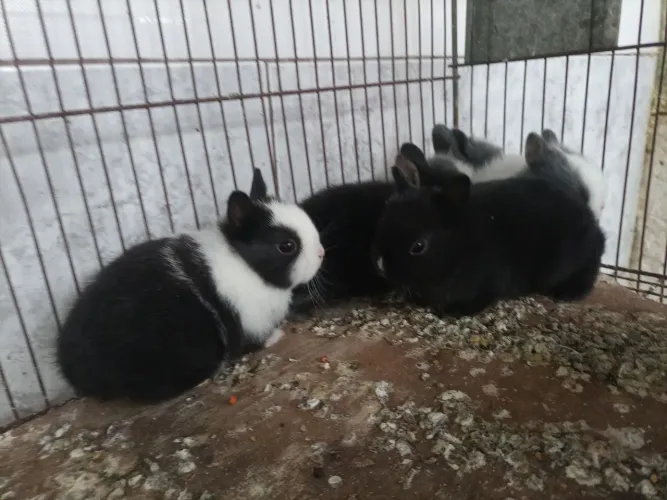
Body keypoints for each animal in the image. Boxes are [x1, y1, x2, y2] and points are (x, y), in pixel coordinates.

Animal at [372, 132, 606, 318]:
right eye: (382, 224)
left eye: (418, 247)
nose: (383, 269)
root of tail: (588, 216)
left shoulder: (490, 281)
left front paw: (453, 311)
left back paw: (570, 293)